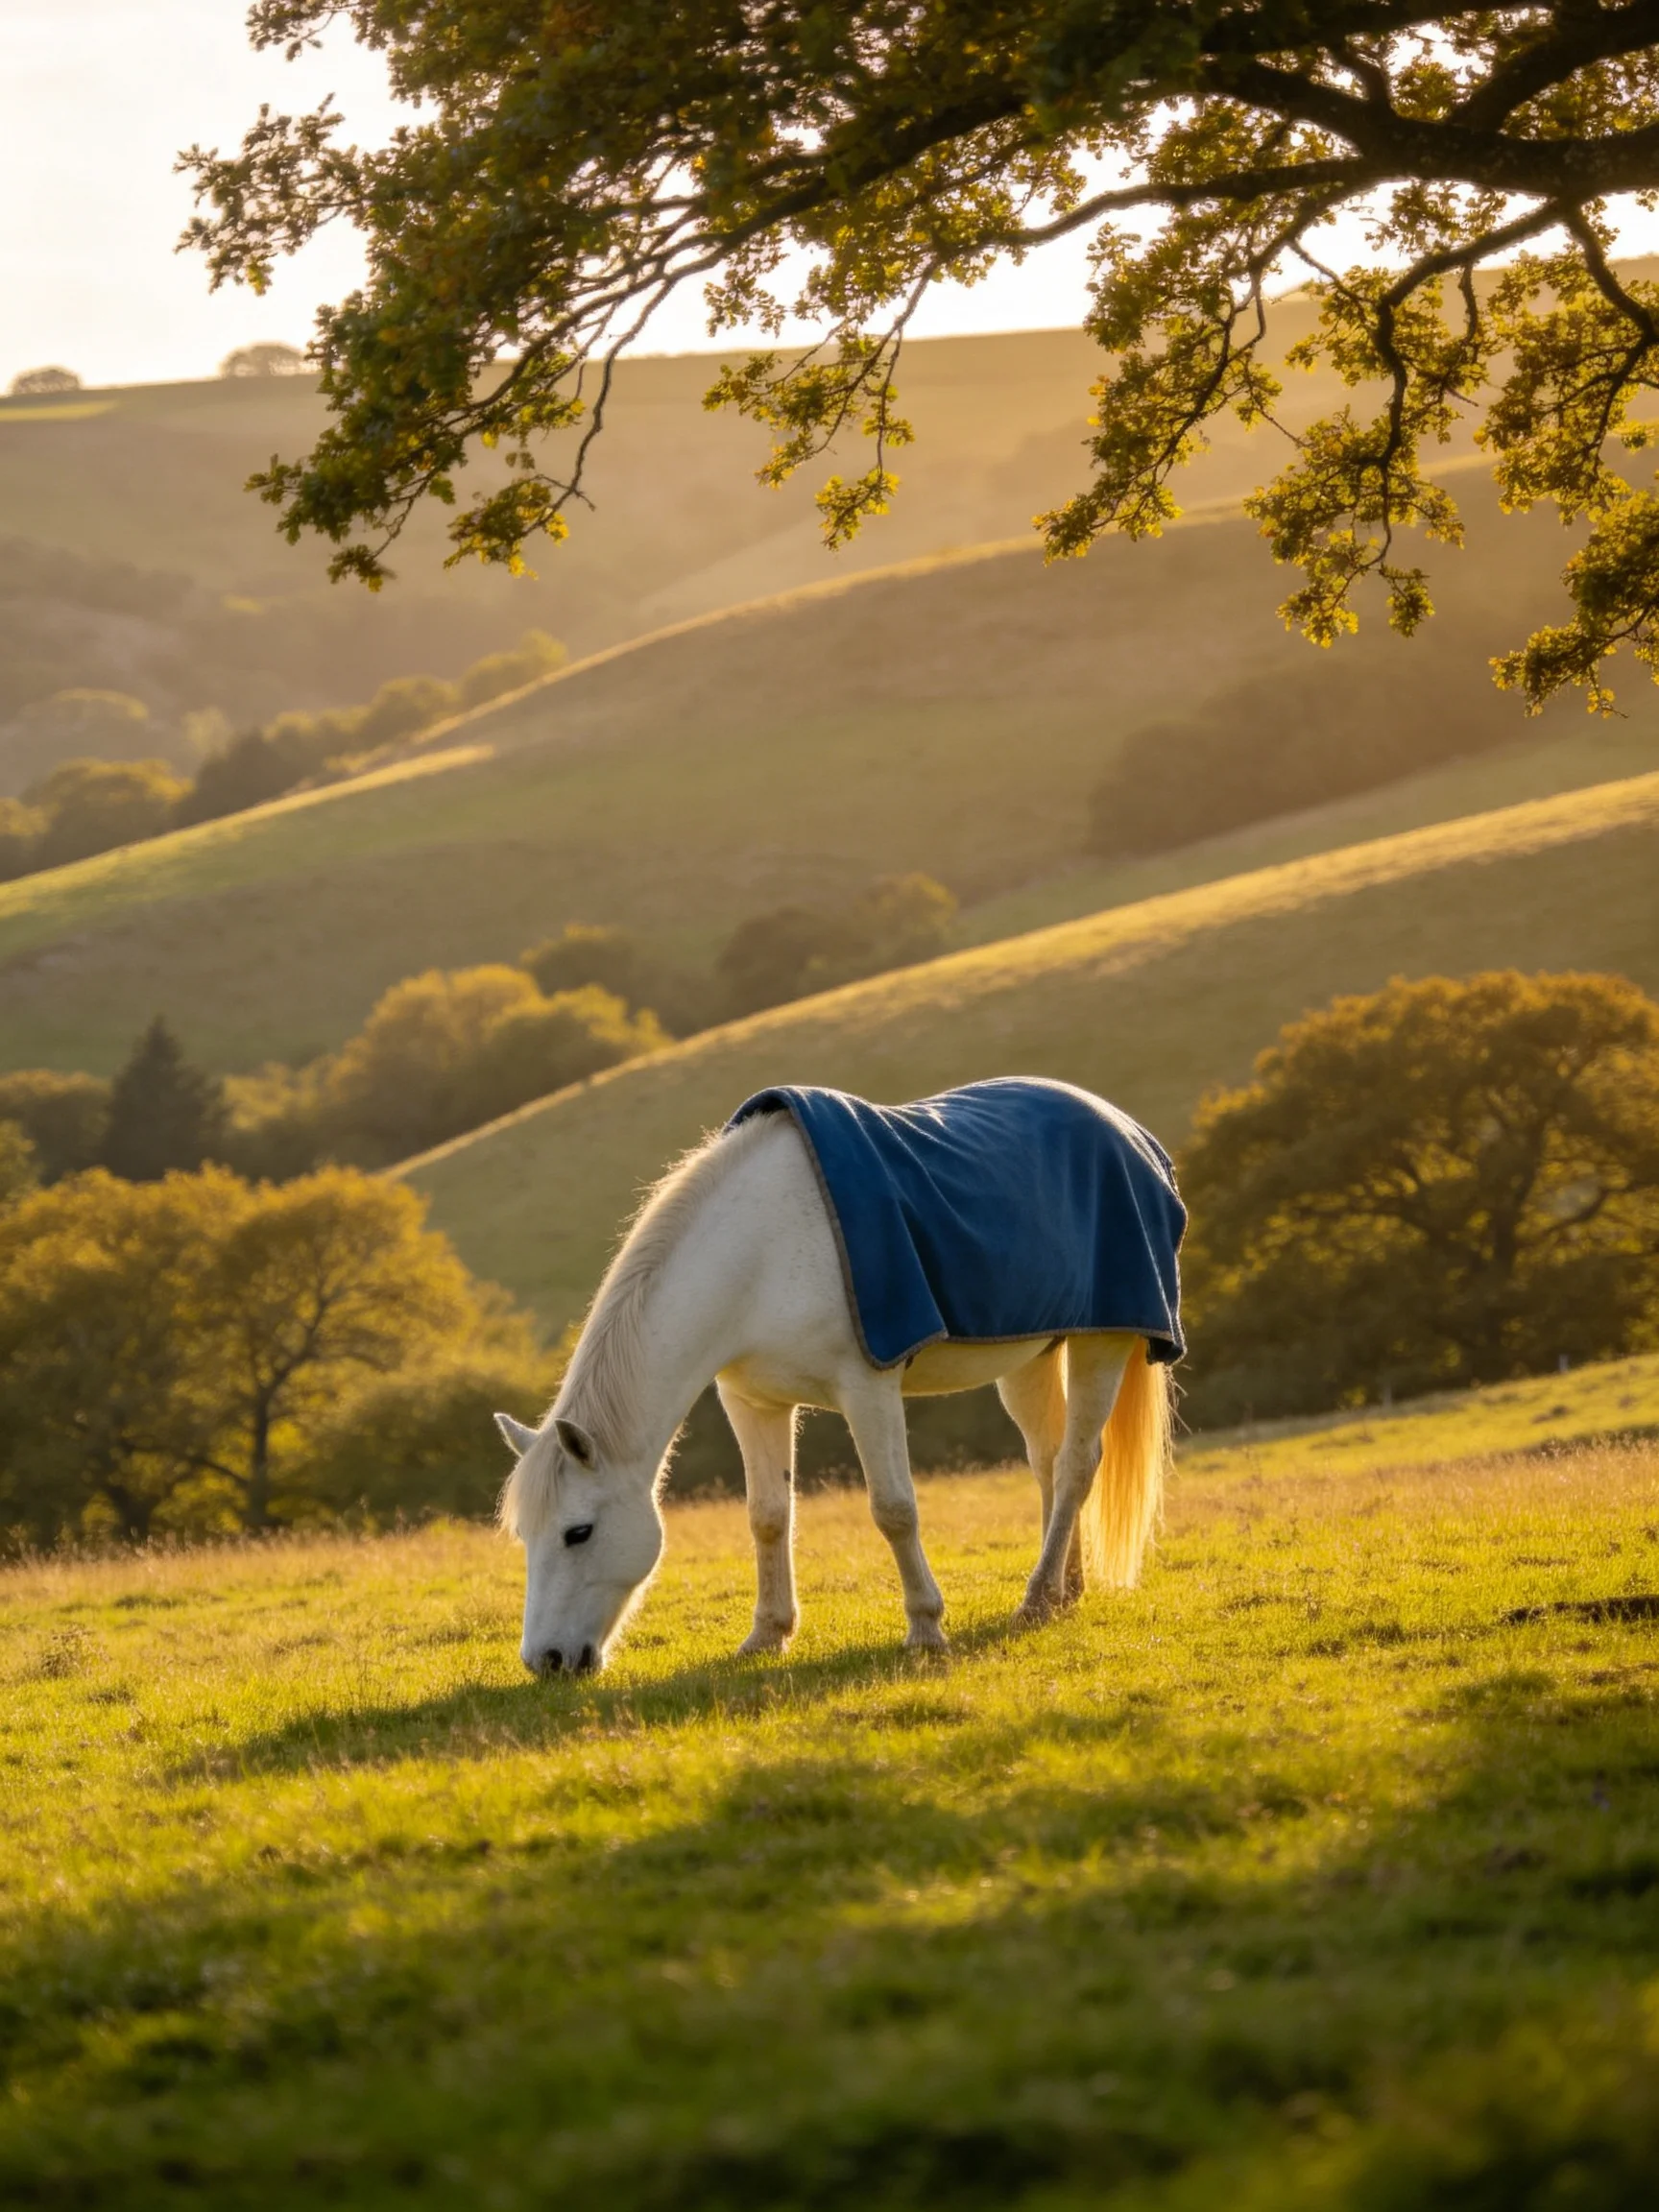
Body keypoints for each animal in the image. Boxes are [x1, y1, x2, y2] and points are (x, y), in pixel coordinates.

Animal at [495, 1089, 1178, 1676]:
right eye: (525, 1534)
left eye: (578, 1532)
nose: (546, 1661)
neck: (758, 1251)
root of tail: (1129, 1133)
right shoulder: (752, 1403)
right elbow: (768, 1517)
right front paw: (767, 1634)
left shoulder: (867, 1390)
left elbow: (894, 1510)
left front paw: (925, 1627)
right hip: (1032, 1357)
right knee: (1048, 1462)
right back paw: (1064, 1590)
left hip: (1100, 1344)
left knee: (1076, 1465)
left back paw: (1036, 1600)